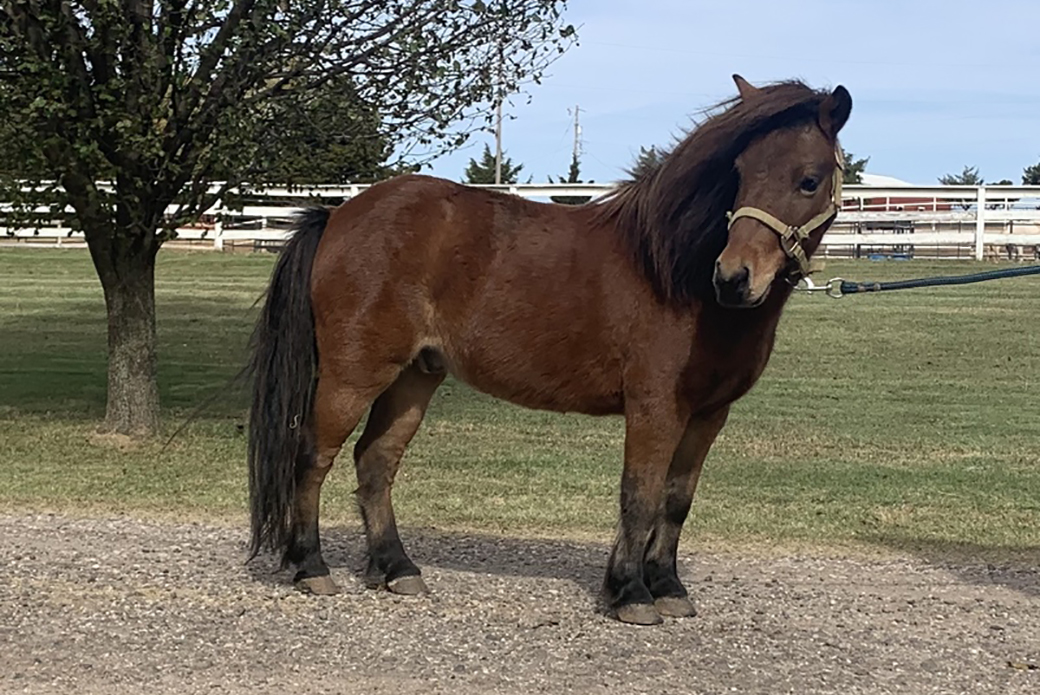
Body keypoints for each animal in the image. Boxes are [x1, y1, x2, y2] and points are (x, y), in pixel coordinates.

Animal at [247, 74, 848, 624]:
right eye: (739, 174)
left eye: (808, 180)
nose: (734, 277)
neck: (677, 276)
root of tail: (338, 215)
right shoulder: (654, 408)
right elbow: (640, 495)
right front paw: (632, 593)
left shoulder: (708, 413)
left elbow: (676, 499)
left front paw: (668, 587)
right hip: (354, 374)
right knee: (313, 456)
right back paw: (312, 567)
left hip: (414, 377)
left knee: (375, 461)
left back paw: (397, 569)